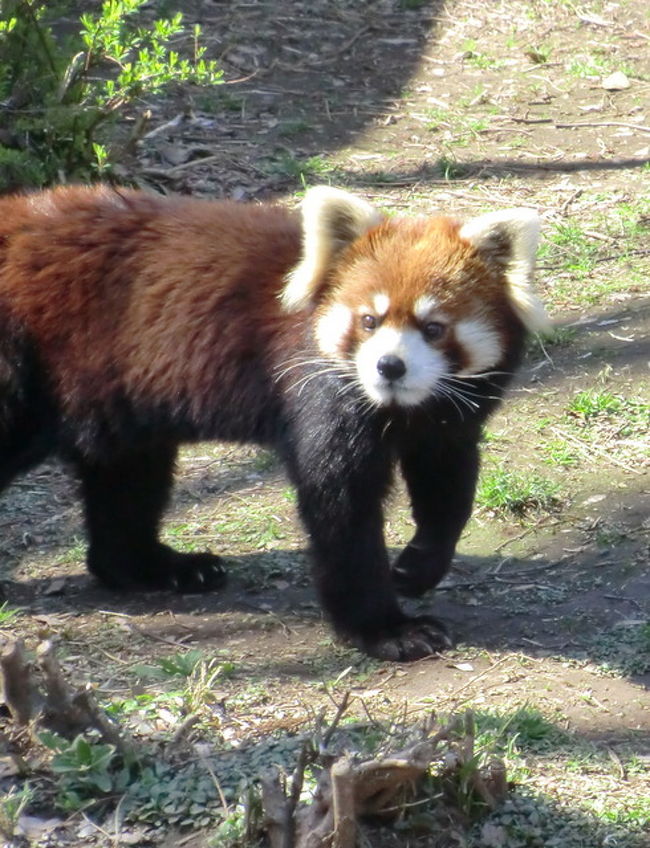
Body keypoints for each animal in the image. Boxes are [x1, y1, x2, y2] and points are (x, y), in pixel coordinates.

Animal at [0, 186, 548, 664]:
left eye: (433, 328)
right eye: (369, 321)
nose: (389, 367)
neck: (400, 408)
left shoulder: (447, 418)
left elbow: (449, 488)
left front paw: (418, 565)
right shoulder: (320, 392)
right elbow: (341, 509)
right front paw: (385, 630)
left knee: (127, 475)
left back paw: (157, 567)